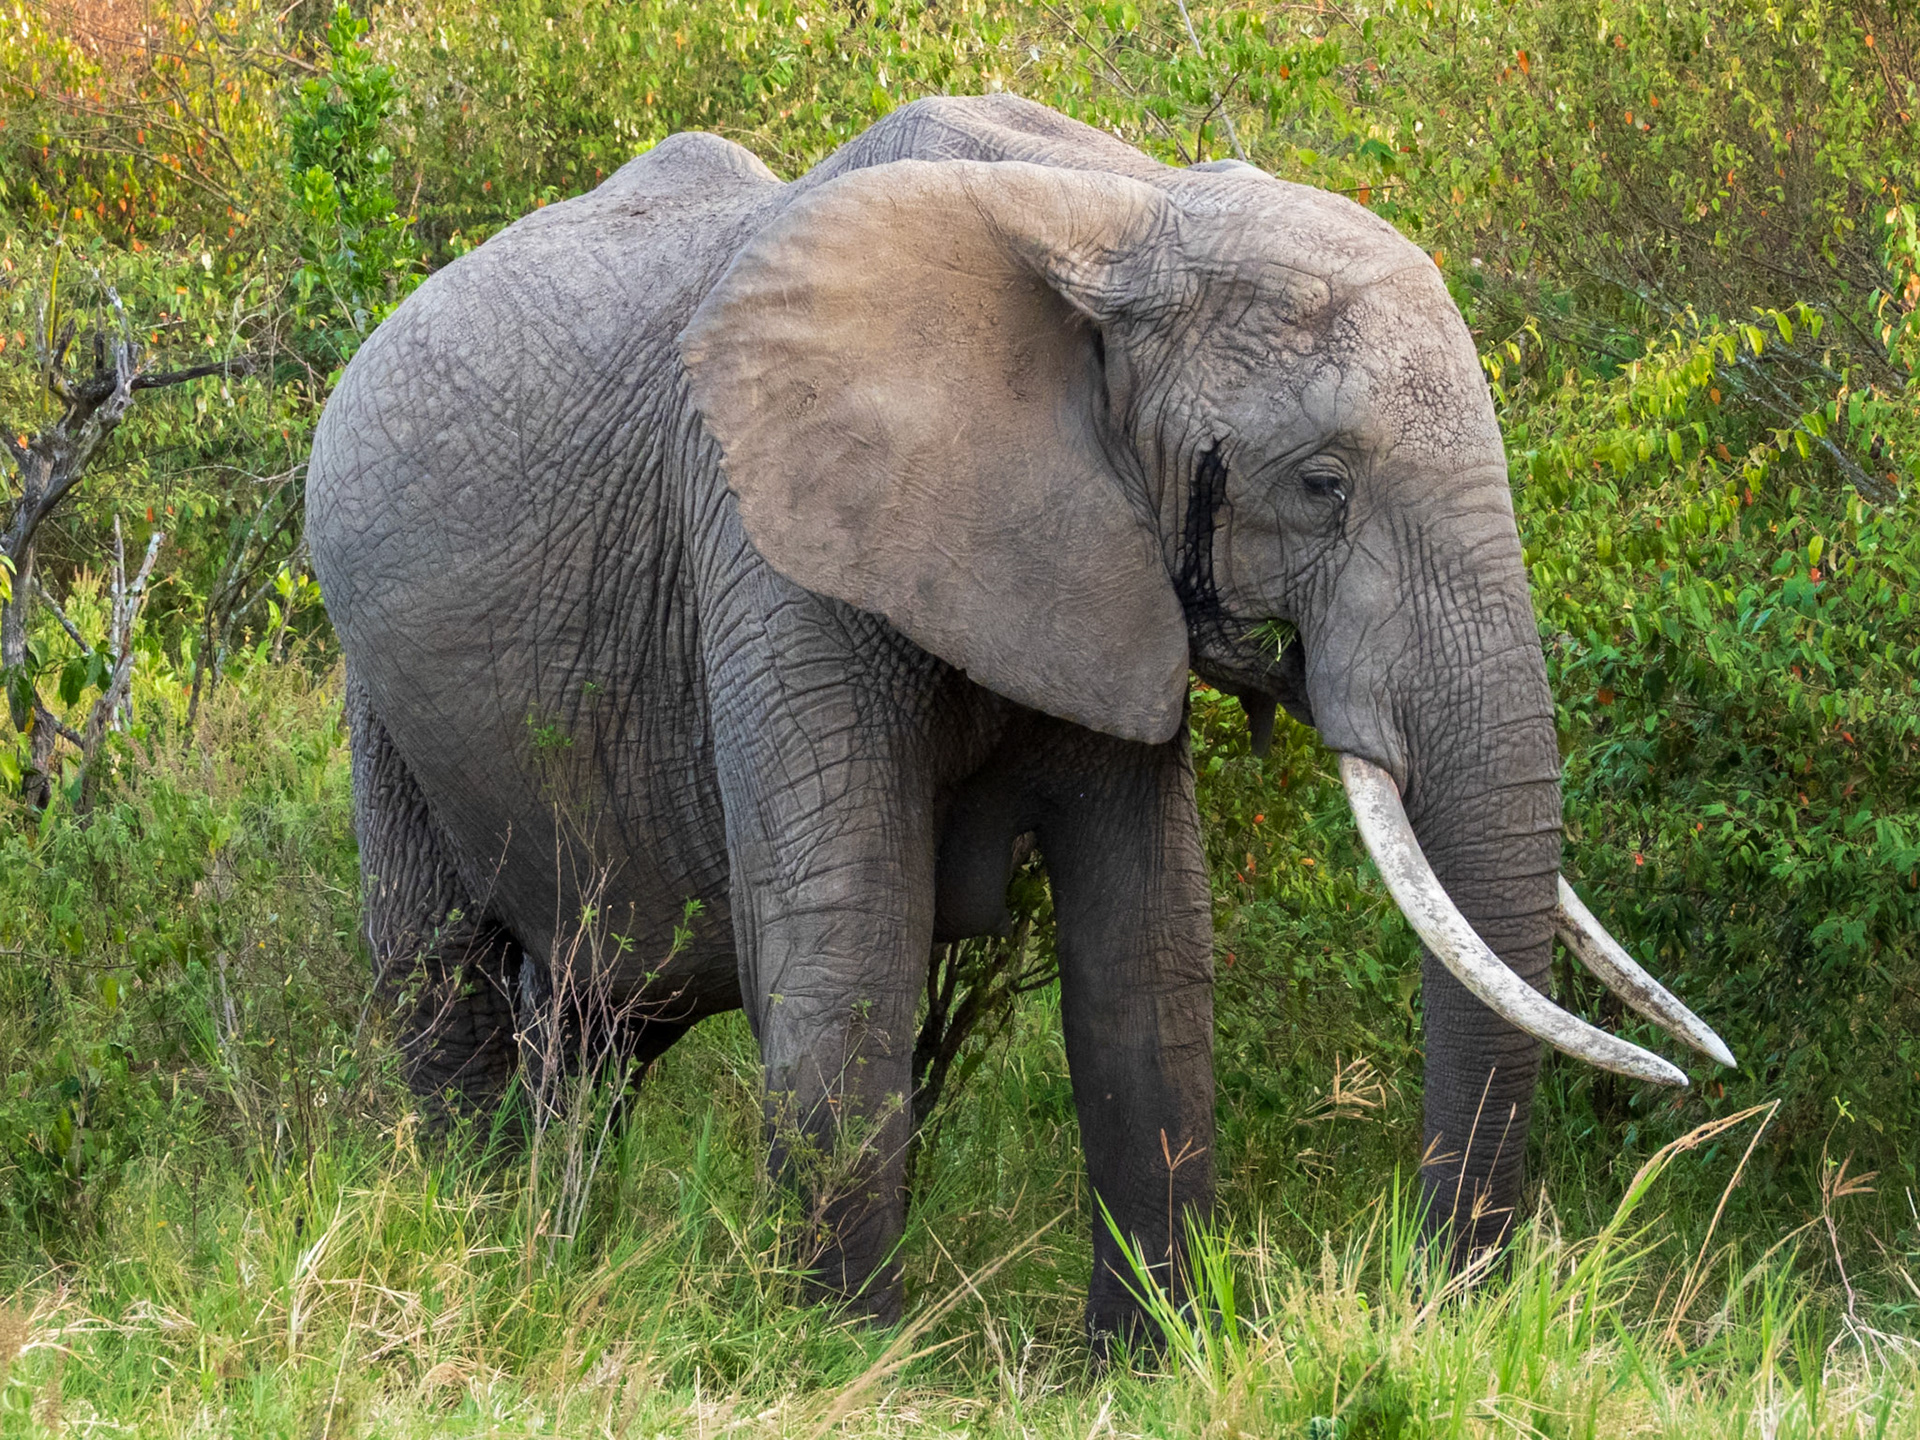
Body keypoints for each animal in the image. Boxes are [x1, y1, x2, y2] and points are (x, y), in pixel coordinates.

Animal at [306, 93, 1732, 1338]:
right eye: (1323, 484)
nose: (1424, 1300)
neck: (1120, 207)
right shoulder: (770, 549)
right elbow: (849, 948)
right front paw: (843, 1362)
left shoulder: (1107, 563)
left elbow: (1146, 956)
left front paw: (1150, 1363)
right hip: (378, 691)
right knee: (441, 988)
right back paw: (483, 1262)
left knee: (597, 1033)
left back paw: (556, 1261)